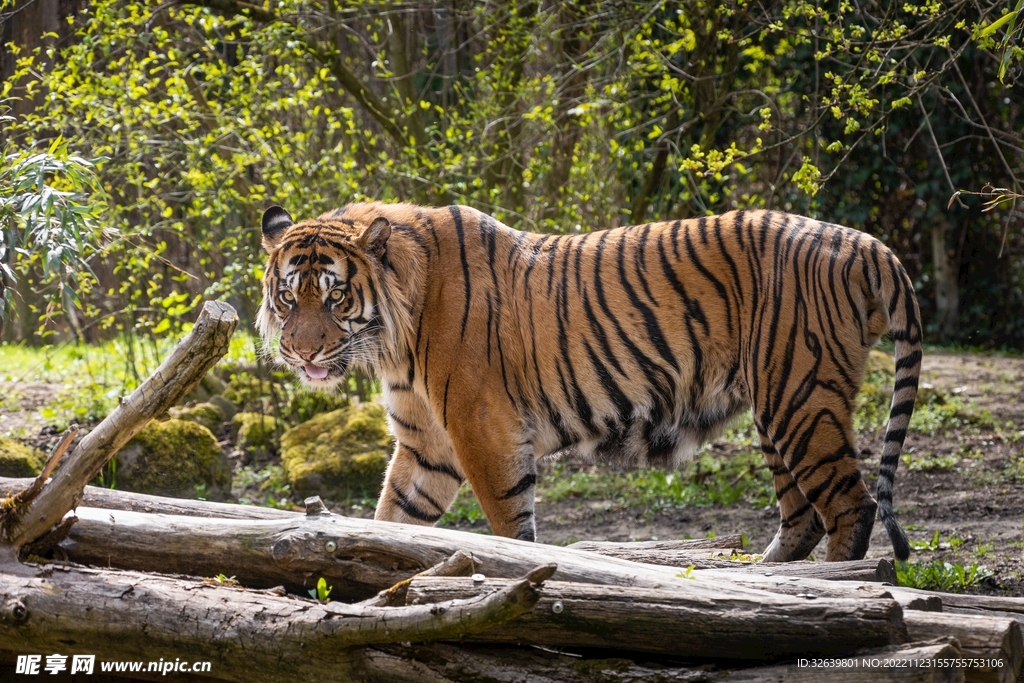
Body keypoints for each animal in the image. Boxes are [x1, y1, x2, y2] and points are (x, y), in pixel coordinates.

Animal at [257, 201, 921, 562]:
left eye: (335, 297)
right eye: (288, 297)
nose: (301, 350)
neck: (393, 338)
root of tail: (866, 243)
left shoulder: (484, 432)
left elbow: (510, 527)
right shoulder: (427, 446)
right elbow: (394, 519)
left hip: (799, 397)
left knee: (851, 505)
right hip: (780, 405)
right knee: (802, 513)